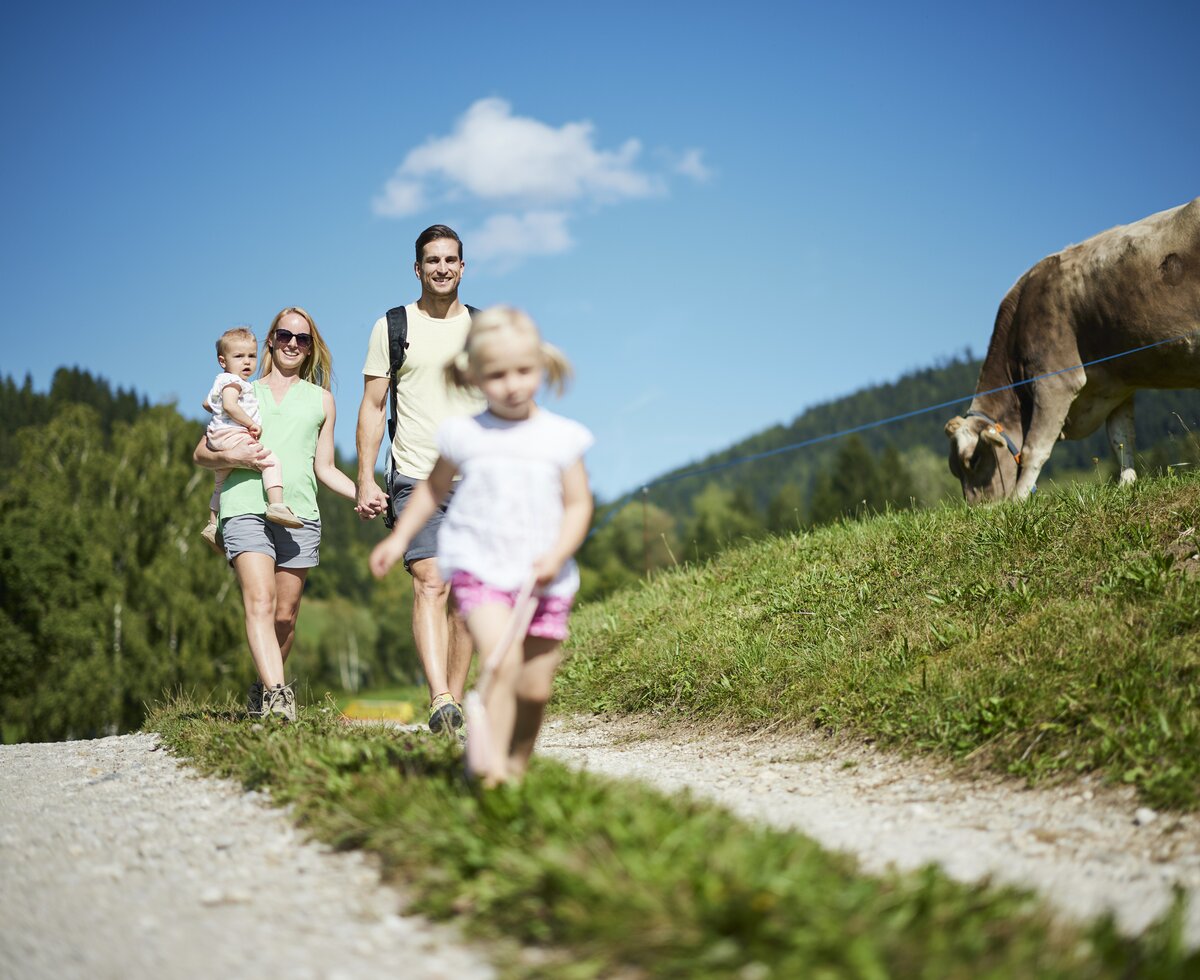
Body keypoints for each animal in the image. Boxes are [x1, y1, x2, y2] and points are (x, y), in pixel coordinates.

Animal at [945, 200, 1200, 503]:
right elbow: (1122, 440)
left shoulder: (1055, 379)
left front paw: (1018, 502)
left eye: (972, 461)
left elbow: (1033, 449)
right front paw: (1126, 485)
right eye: (954, 470)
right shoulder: (1116, 386)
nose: (978, 510)